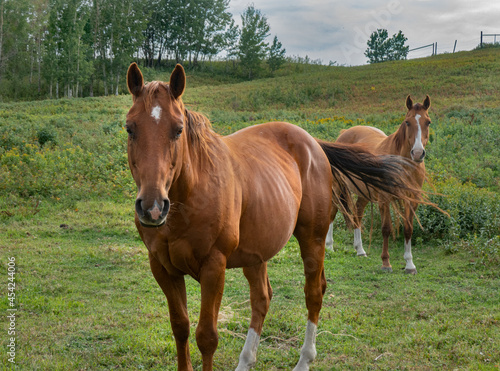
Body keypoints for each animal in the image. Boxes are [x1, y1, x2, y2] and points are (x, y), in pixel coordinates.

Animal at [326, 95, 432, 276]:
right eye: (407, 122)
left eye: (428, 122)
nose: (417, 153)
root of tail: (344, 133)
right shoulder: (384, 198)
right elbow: (386, 228)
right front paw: (386, 263)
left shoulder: (412, 199)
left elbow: (408, 229)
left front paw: (410, 265)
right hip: (339, 186)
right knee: (333, 210)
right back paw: (329, 247)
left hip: (364, 192)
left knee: (357, 213)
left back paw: (360, 250)